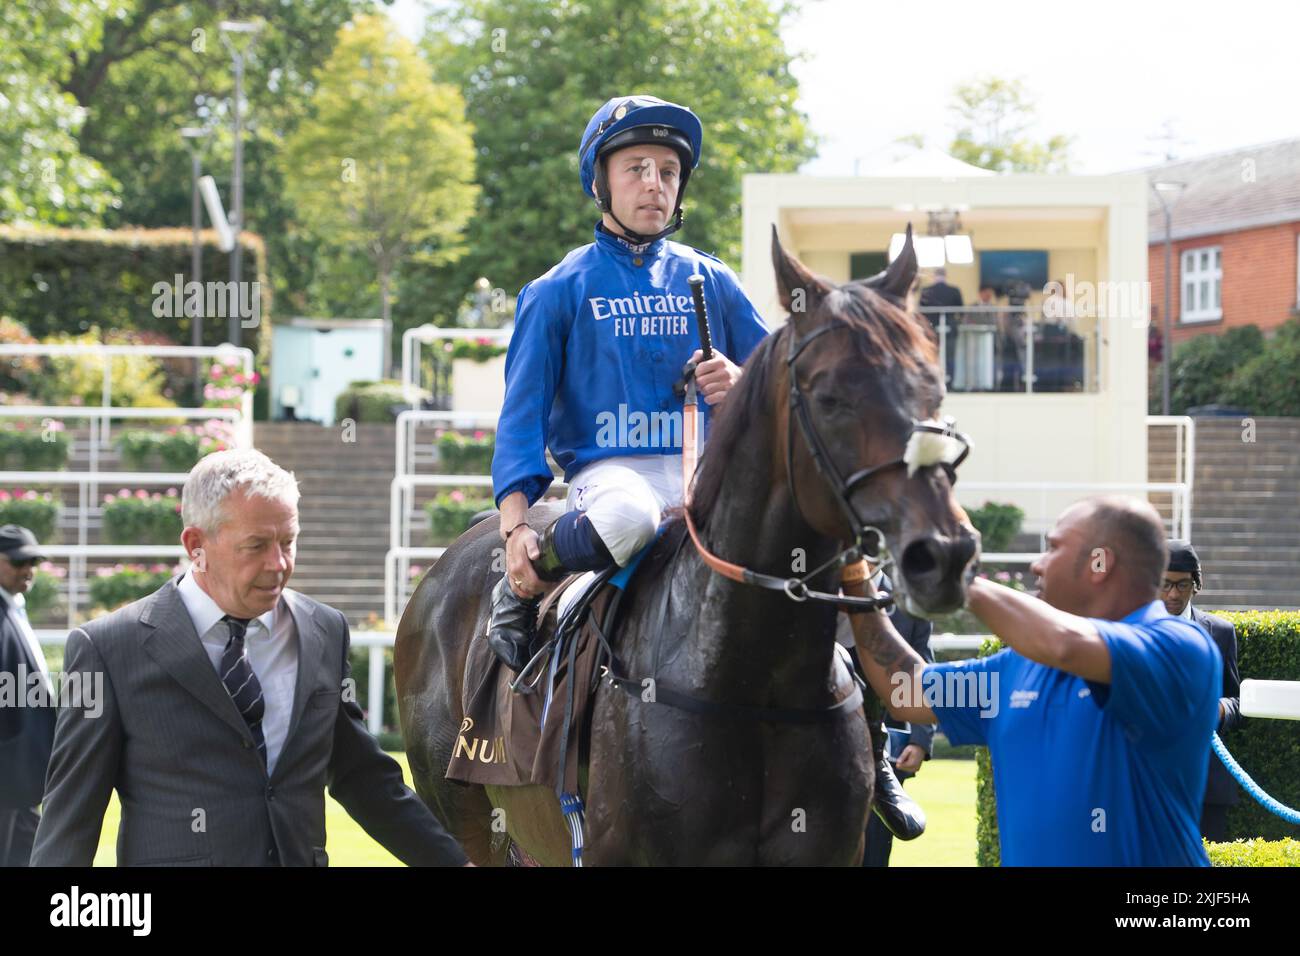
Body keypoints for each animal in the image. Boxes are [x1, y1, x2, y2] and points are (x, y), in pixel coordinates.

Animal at [390, 226, 977, 868]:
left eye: (934, 388)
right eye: (829, 397)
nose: (943, 554)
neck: (753, 679)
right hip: (465, 819)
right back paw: (511, 606)